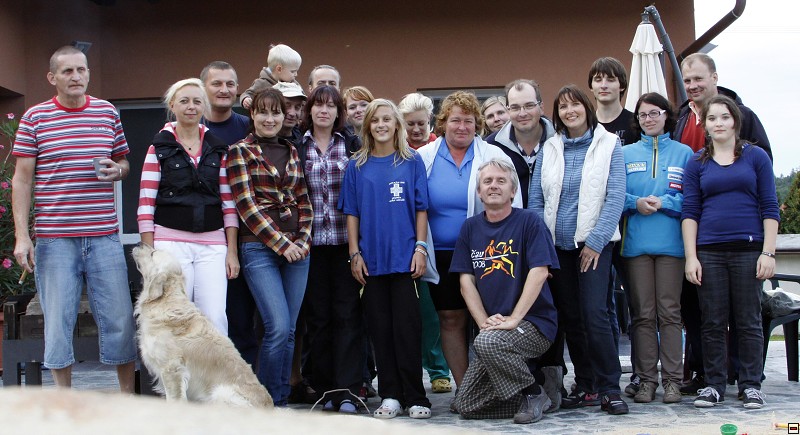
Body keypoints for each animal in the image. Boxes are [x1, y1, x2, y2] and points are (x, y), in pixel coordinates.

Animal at [132, 244, 272, 407]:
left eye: (153, 253)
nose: (139, 244)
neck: (167, 301)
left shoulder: (172, 369)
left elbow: (174, 399)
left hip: (221, 392)